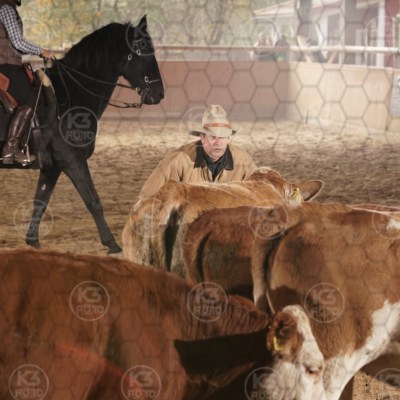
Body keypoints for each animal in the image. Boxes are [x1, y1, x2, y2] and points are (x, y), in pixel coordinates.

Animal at [0, 15, 164, 254]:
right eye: (144, 50)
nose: (159, 93)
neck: (70, 94)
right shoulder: (73, 161)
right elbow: (92, 200)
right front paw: (112, 243)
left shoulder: (52, 166)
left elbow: (41, 200)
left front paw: (32, 240)